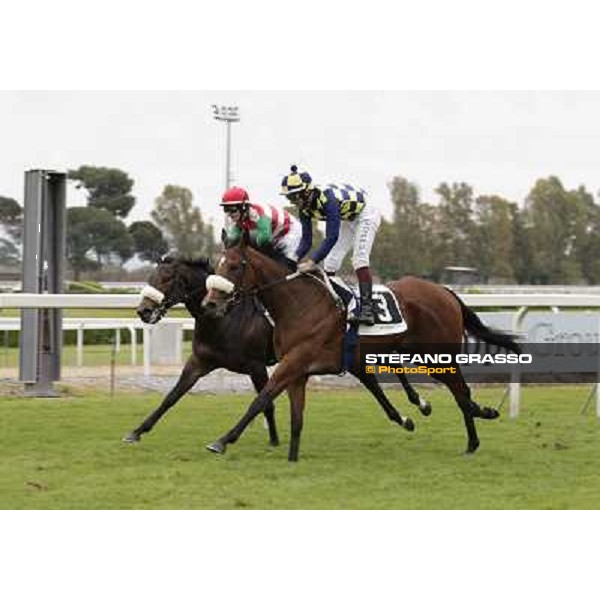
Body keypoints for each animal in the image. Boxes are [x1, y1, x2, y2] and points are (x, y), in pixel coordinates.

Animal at [202, 243, 520, 460]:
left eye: (234, 266)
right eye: (217, 264)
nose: (210, 303)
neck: (299, 304)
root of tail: (445, 291)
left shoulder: (293, 363)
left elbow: (261, 399)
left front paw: (222, 440)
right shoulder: (300, 370)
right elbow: (293, 415)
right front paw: (292, 457)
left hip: (436, 357)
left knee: (461, 391)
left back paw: (474, 435)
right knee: (459, 391)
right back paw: (474, 422)